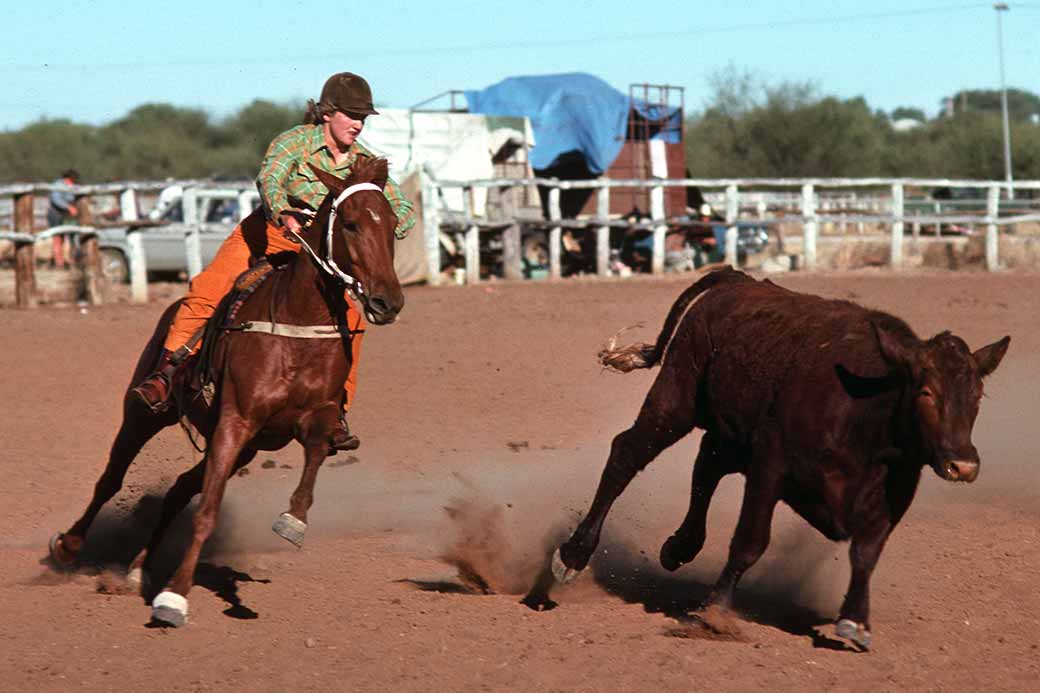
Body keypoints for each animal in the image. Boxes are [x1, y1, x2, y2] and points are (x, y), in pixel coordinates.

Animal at [50, 158, 403, 624]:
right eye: (350, 224)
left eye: (394, 223)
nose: (387, 302)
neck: (297, 325)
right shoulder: (236, 422)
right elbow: (207, 512)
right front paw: (174, 598)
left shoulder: (310, 417)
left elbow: (314, 454)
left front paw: (293, 521)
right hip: (144, 413)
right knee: (111, 479)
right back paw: (69, 548)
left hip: (246, 448)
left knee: (179, 490)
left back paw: (138, 569)